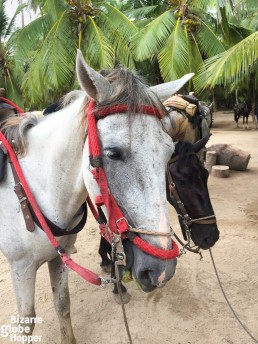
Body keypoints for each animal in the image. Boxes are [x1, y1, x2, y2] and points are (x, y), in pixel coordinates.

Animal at [0, 49, 185, 342]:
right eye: (112, 153)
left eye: (170, 152)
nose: (161, 271)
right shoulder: (21, 269)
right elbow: (26, 322)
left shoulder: (58, 258)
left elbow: (62, 305)